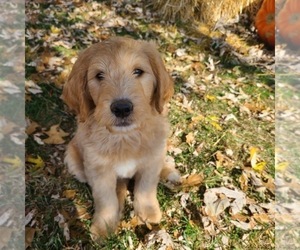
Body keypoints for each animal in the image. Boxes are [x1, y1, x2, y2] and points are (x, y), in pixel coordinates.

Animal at [62, 36, 179, 238]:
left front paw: (149, 212)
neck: (125, 137)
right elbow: (106, 199)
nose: (122, 108)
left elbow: (146, 187)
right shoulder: (99, 170)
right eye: (99, 75)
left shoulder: (151, 162)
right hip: (73, 158)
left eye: (138, 71)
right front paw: (103, 226)